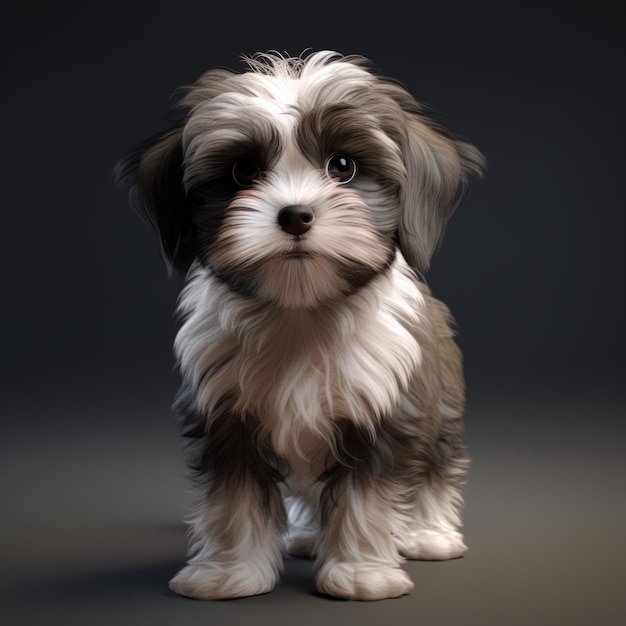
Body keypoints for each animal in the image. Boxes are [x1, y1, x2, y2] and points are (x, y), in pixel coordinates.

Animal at [116, 51, 482, 596]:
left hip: (441, 407)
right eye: (243, 170)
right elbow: (233, 501)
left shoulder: (383, 410)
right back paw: (308, 536)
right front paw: (228, 574)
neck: (300, 310)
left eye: (343, 166)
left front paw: (361, 574)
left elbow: (366, 499)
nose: (295, 215)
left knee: (437, 466)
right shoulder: (226, 416)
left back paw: (429, 535)